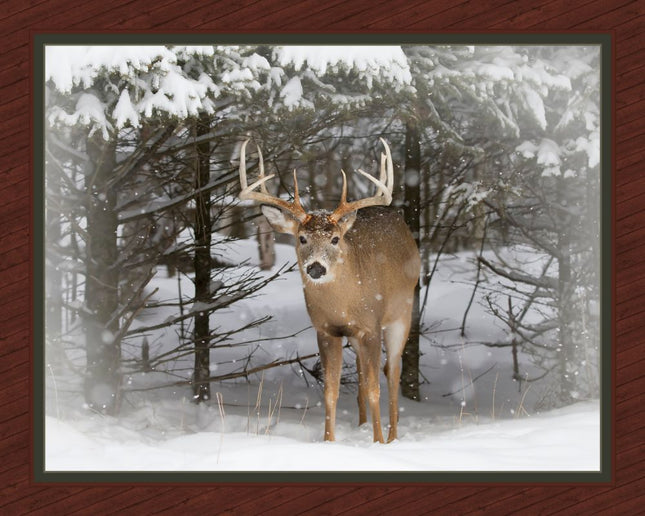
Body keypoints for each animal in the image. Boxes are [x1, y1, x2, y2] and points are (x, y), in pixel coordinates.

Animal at [238, 138, 420, 443]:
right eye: (302, 238)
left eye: (335, 239)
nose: (315, 268)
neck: (343, 304)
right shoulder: (326, 330)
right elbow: (330, 390)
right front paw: (329, 441)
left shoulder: (371, 326)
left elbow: (376, 388)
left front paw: (378, 442)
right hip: (356, 336)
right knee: (362, 372)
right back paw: (361, 424)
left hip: (401, 315)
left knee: (392, 371)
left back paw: (393, 435)